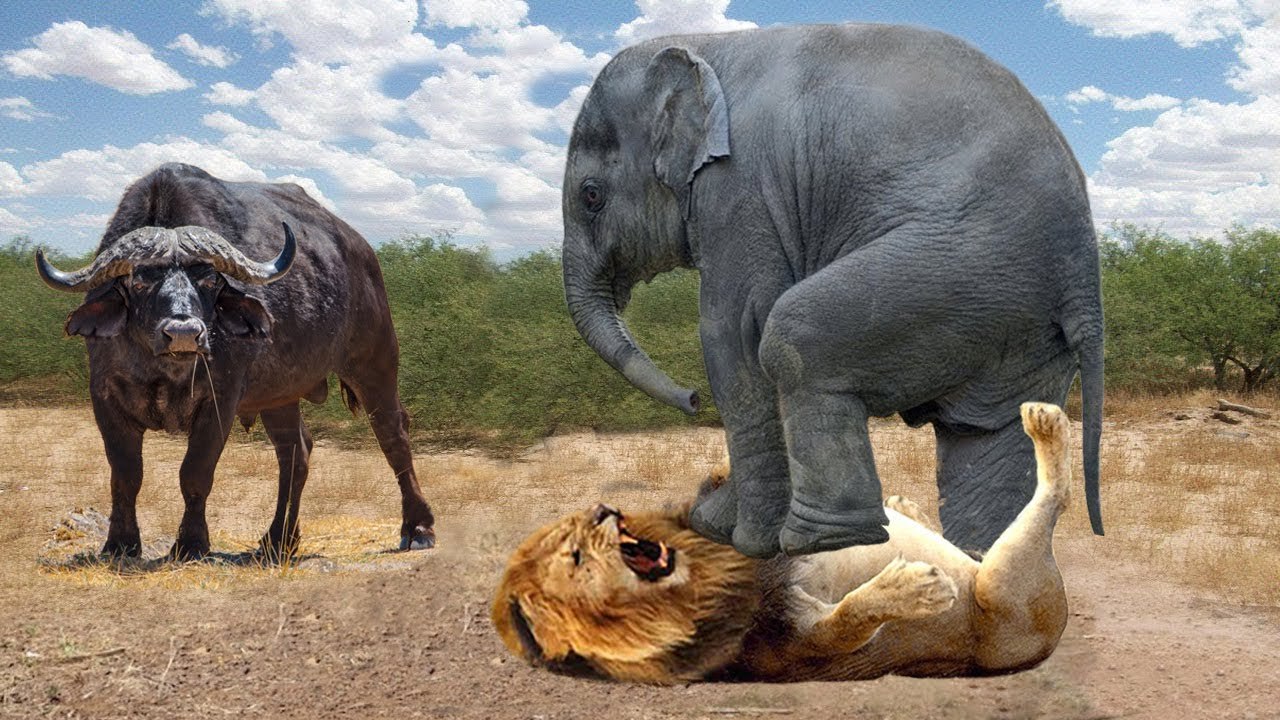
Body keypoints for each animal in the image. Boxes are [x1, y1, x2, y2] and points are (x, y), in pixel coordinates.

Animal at [36, 163, 435, 560]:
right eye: (138, 281)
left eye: (210, 280)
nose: (183, 332)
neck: (167, 369)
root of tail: (363, 253)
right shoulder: (104, 397)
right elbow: (125, 474)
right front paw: (120, 542)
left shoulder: (220, 399)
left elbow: (195, 472)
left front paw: (191, 543)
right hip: (280, 395)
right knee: (296, 452)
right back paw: (278, 539)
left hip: (374, 360)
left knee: (393, 435)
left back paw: (417, 529)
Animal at [492, 402, 1075, 683]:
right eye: (572, 559)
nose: (600, 511)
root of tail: (1052, 642)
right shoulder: (792, 640)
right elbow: (845, 622)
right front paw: (910, 590)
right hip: (1001, 591)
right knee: (1056, 496)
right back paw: (1047, 426)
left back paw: (906, 504)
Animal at [560, 23, 1104, 558]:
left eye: (591, 196)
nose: (691, 399)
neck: (705, 46)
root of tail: (1084, 278)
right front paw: (712, 526)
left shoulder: (740, 189)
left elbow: (733, 337)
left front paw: (743, 541)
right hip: (1017, 316)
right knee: (985, 431)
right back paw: (974, 563)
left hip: (962, 268)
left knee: (793, 342)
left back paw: (822, 544)